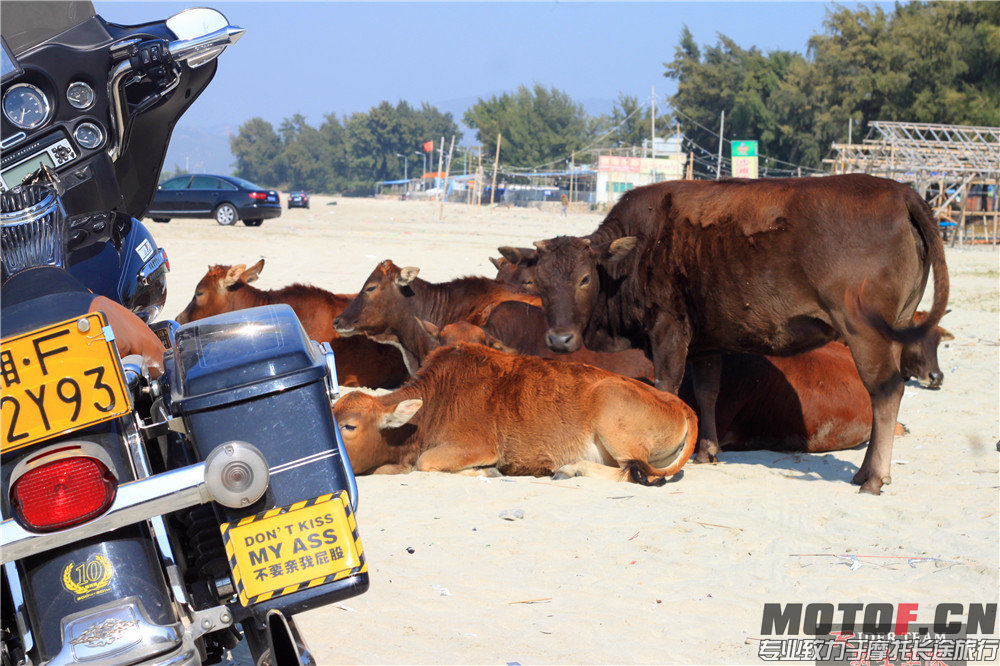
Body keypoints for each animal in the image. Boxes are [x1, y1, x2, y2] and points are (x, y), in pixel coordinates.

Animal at [334, 342, 696, 482]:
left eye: (349, 426)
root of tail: (682, 406)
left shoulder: (476, 446)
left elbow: (427, 462)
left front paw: (490, 472)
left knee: (631, 473)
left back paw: (571, 469)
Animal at [512, 174, 948, 490]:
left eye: (585, 279)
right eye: (538, 282)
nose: (559, 340)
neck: (637, 251)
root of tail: (899, 192)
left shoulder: (669, 329)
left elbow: (667, 387)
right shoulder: (706, 345)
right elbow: (707, 391)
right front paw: (707, 450)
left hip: (865, 333)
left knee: (885, 392)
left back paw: (872, 478)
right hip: (895, 329)